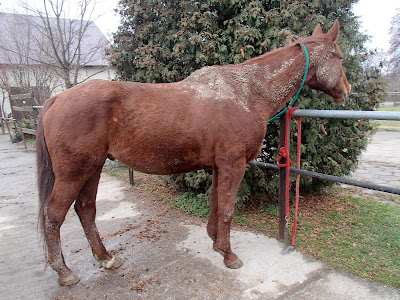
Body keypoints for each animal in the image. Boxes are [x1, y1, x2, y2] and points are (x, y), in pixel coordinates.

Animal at [36, 21, 350, 286]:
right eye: (339, 56)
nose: (346, 90)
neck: (247, 92)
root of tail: (57, 98)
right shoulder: (233, 165)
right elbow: (227, 209)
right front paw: (229, 255)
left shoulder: (218, 166)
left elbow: (216, 205)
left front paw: (215, 243)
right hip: (75, 172)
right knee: (54, 215)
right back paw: (64, 272)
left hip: (94, 168)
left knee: (86, 210)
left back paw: (106, 258)